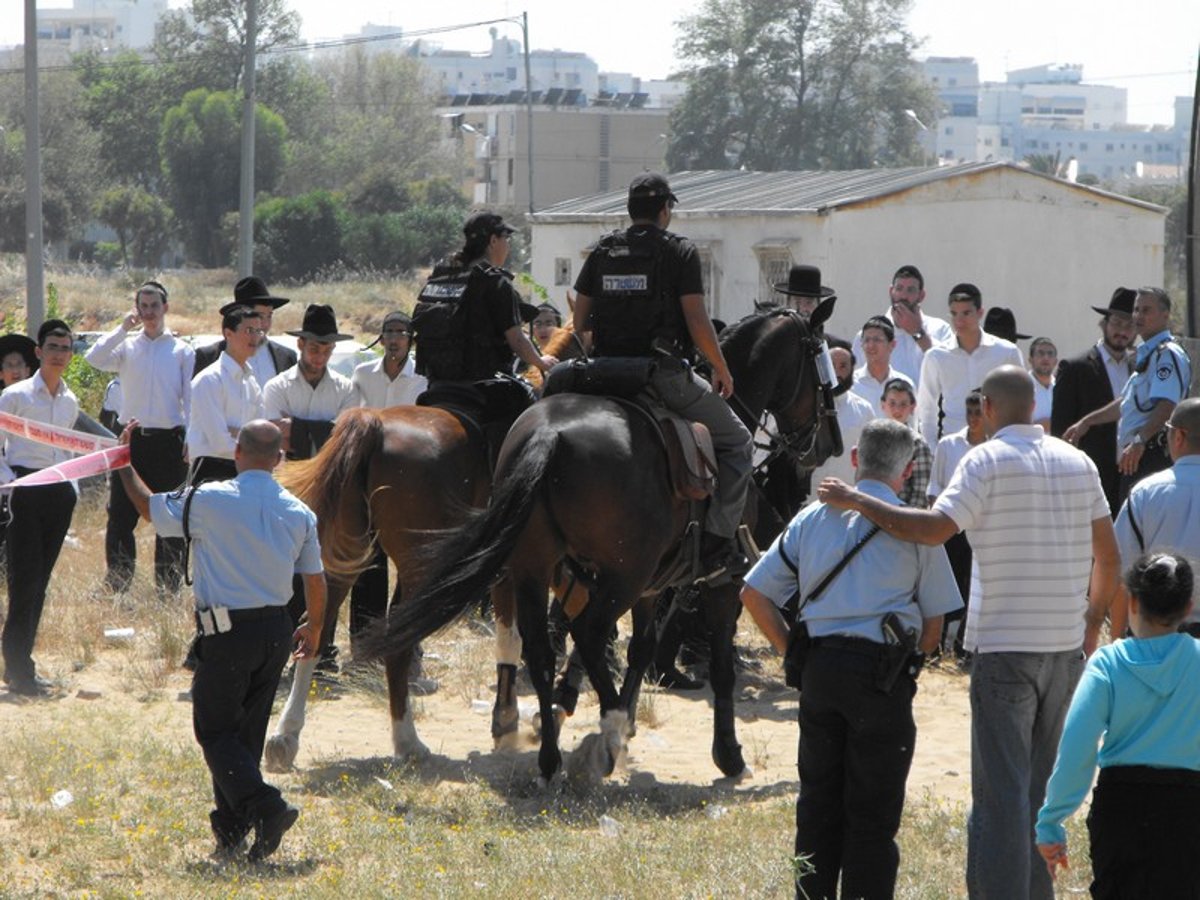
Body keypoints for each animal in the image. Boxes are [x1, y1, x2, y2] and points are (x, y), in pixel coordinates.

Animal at [364, 300, 835, 787]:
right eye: (820, 364)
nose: (823, 444)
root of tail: (549, 435)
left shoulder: (639, 582)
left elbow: (635, 647)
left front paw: (565, 707)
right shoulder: (718, 582)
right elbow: (717, 666)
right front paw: (727, 753)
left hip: (536, 568)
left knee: (535, 645)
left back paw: (544, 757)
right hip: (611, 573)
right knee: (583, 633)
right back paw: (603, 740)